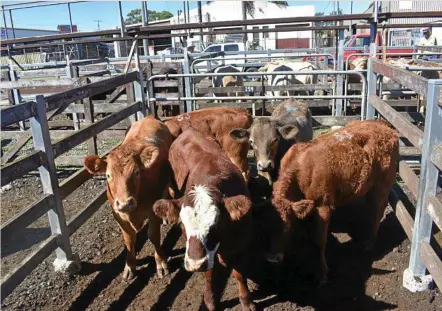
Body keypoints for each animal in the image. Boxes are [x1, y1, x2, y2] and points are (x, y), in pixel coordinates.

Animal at [83, 116, 173, 282]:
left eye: (137, 172)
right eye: (108, 175)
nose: (125, 203)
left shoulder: (152, 210)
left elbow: (153, 235)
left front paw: (161, 263)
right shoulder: (118, 215)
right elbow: (129, 239)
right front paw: (129, 267)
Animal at [154, 129, 256, 311]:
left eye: (217, 224)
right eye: (182, 225)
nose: (195, 264)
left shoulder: (241, 245)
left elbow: (240, 274)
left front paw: (246, 300)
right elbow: (209, 274)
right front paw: (209, 301)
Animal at [268, 120, 398, 286]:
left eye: (287, 226)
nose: (271, 258)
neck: (300, 167)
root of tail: (382, 124)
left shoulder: (323, 205)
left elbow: (319, 242)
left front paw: (322, 274)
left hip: (382, 184)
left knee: (378, 210)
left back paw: (369, 243)